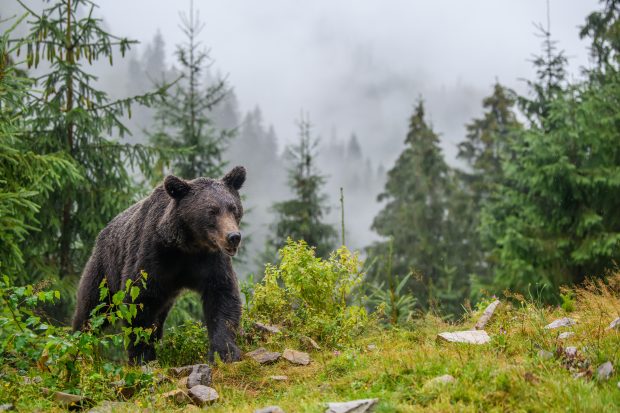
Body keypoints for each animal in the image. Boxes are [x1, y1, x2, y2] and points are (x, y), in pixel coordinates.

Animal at [72, 166, 247, 362]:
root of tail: (101, 234)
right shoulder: (152, 257)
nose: (233, 237)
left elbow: (222, 296)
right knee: (92, 309)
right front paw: (142, 355)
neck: (187, 245)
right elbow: (139, 302)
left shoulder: (209, 261)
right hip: (105, 271)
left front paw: (225, 352)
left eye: (233, 208)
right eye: (212, 211)